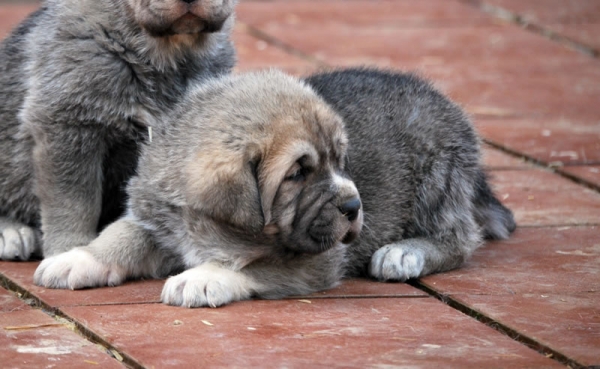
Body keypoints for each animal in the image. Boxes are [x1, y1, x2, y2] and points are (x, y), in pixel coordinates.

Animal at [35, 67, 516, 306]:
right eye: (298, 174)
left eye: (341, 160)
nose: (354, 206)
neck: (207, 225)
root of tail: (446, 103)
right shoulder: (154, 219)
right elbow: (119, 234)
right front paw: (77, 258)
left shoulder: (316, 259)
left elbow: (251, 265)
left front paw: (203, 277)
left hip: (437, 178)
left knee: (460, 238)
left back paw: (404, 252)